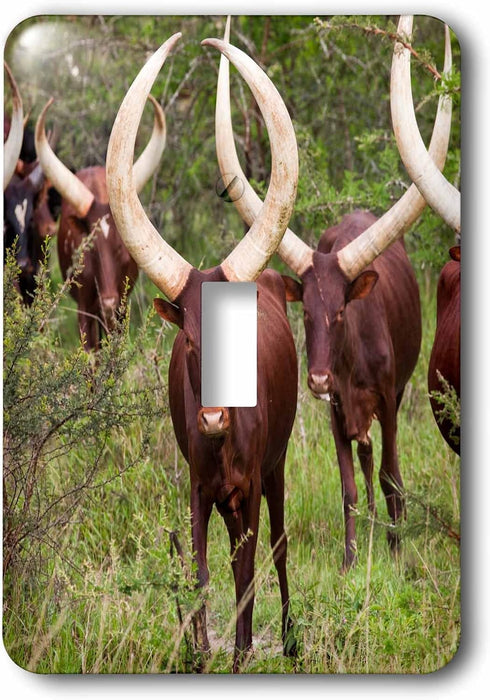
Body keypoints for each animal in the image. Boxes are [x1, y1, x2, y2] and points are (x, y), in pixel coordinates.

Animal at [106, 33, 299, 672]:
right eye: (189, 338)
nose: (213, 417)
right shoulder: (196, 490)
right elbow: (199, 573)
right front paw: (202, 652)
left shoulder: (251, 489)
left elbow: (247, 576)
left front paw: (241, 654)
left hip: (277, 471)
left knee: (279, 548)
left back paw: (290, 638)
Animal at [215, 16, 453, 570]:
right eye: (305, 312)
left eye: (343, 310)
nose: (319, 377)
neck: (349, 362)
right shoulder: (335, 411)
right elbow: (348, 485)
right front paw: (349, 560)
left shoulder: (388, 399)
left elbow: (392, 476)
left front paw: (395, 551)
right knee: (362, 461)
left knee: (380, 465)